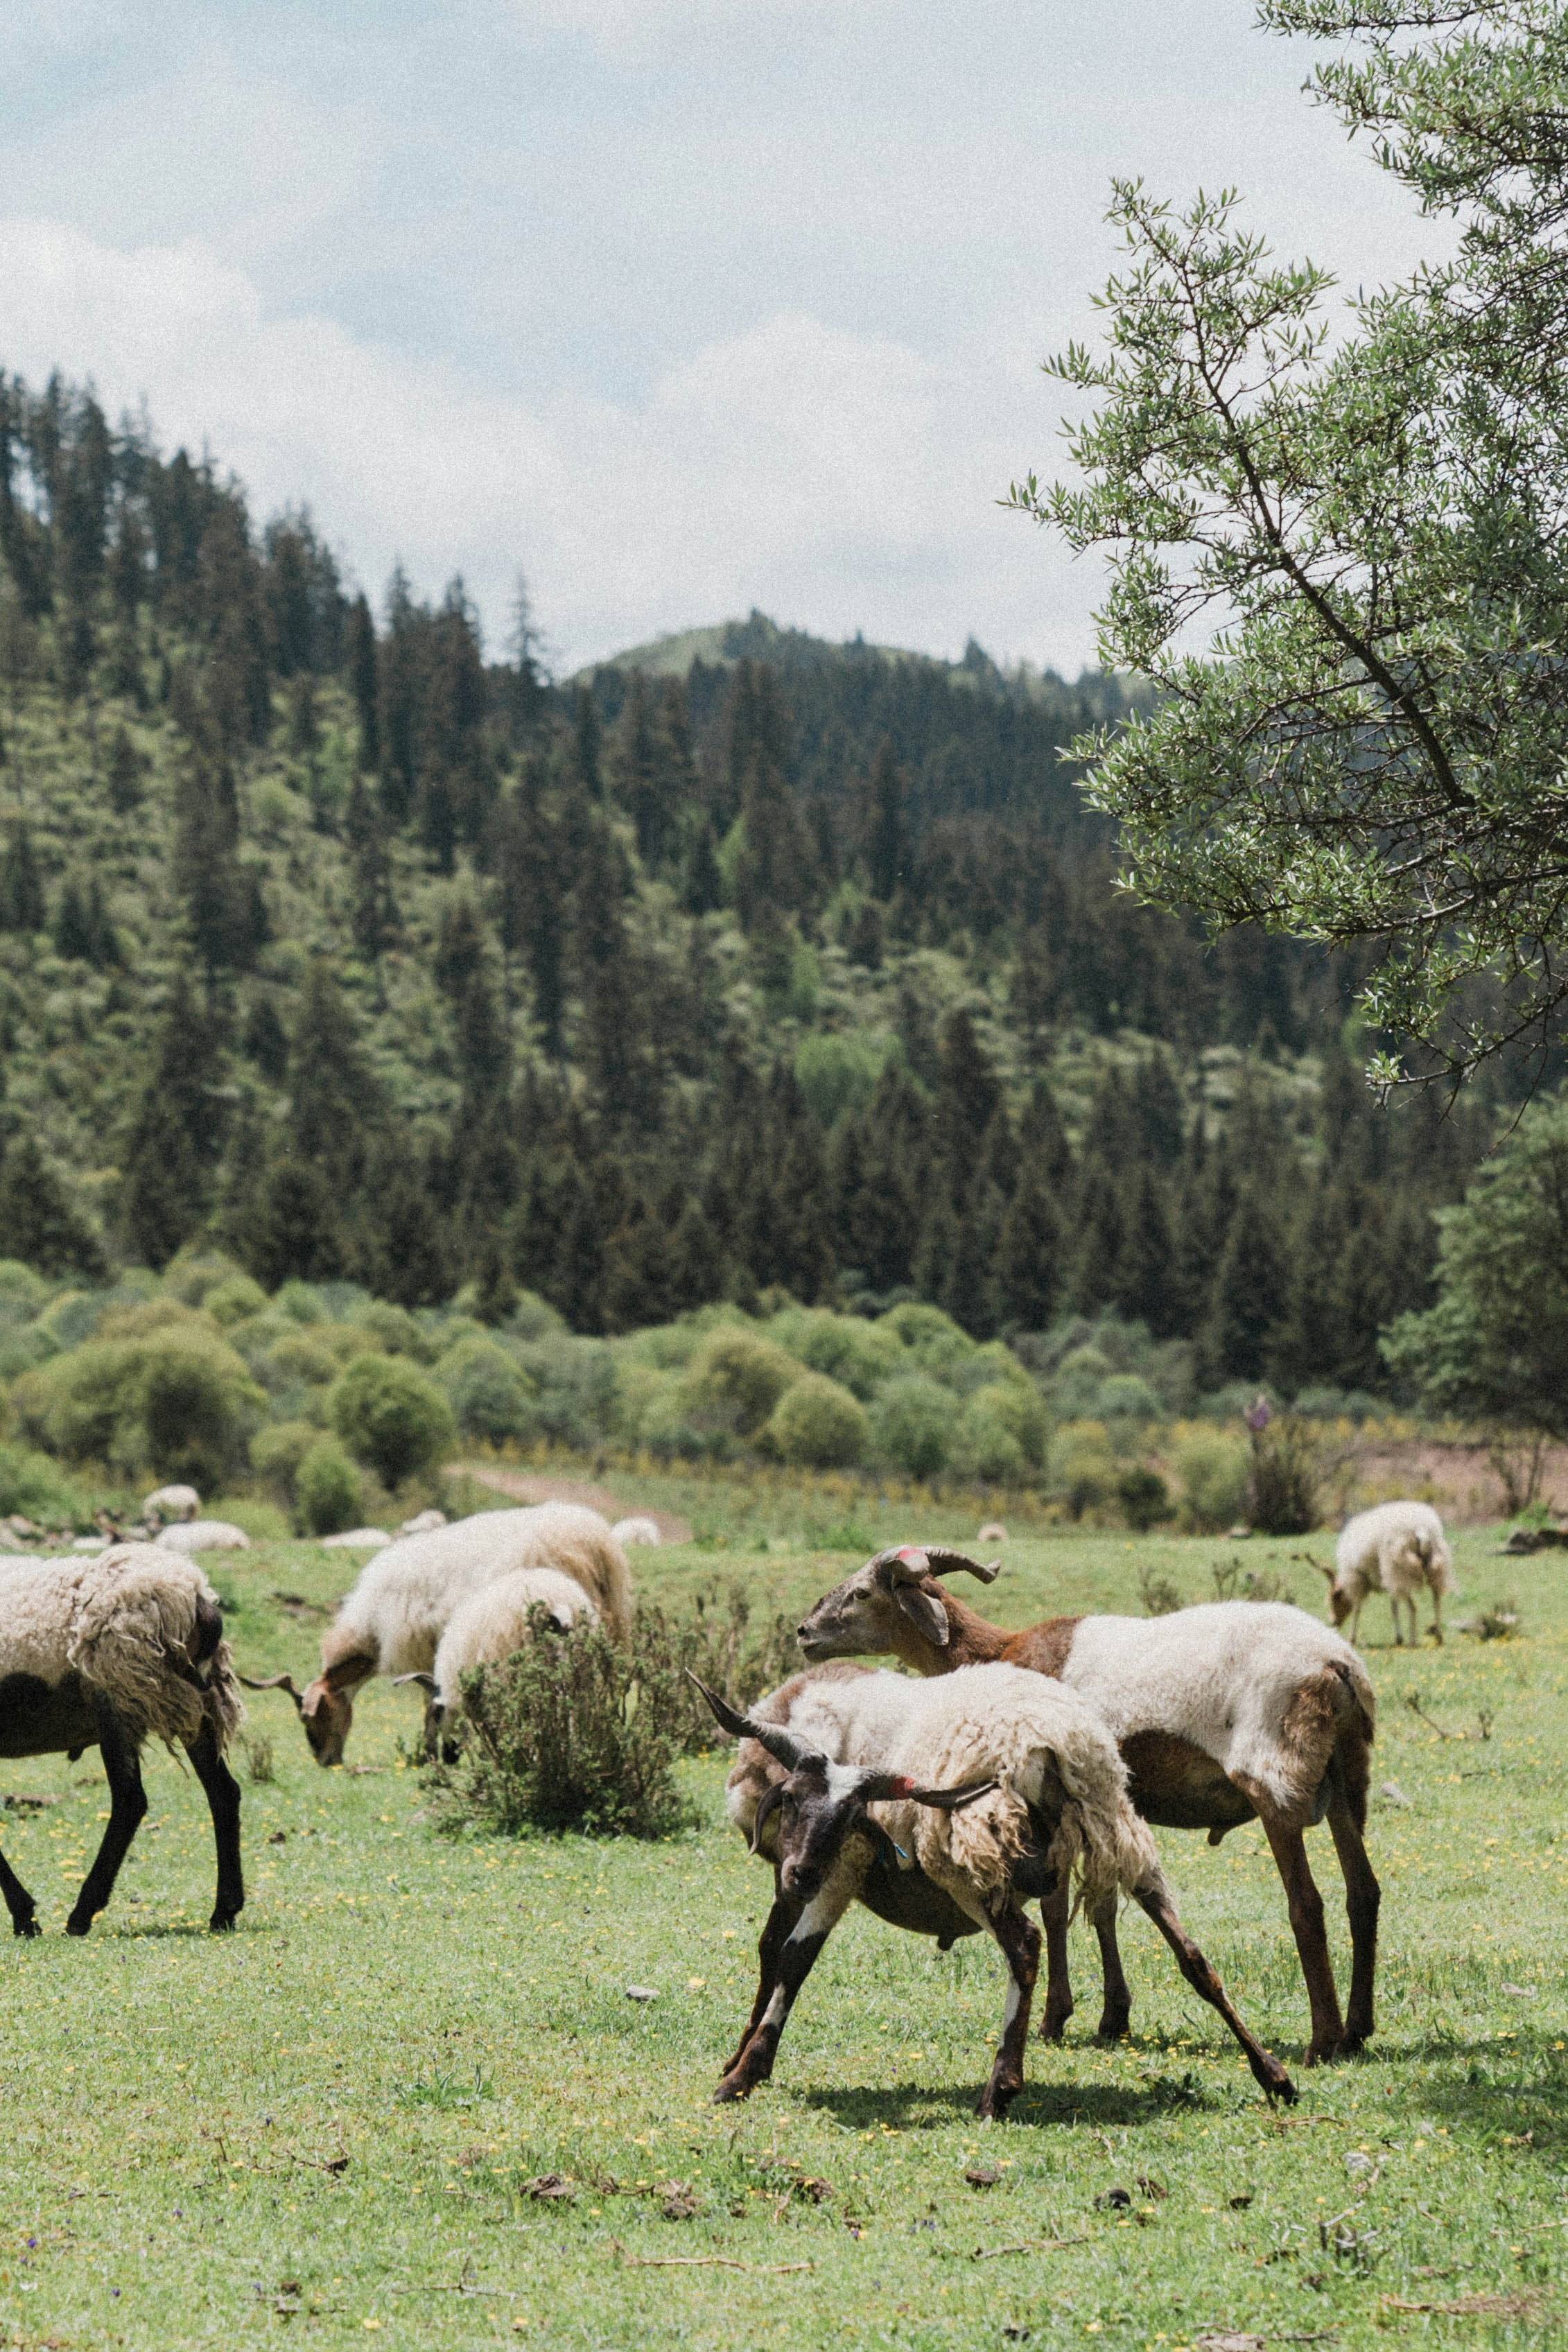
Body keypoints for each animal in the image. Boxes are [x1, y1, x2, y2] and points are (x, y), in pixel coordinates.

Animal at [0, 1543, 244, 1936]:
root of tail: (194, 1594)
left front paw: (25, 1916)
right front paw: (25, 1915)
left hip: (121, 1694)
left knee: (131, 1801)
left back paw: (81, 1914)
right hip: (193, 1698)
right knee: (223, 1791)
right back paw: (224, 1911)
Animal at [696, 1664, 1295, 2116]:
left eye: (847, 1818)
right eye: (793, 1800)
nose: (800, 1873)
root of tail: (1050, 1745)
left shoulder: (844, 1865)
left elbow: (792, 1959)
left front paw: (742, 2074)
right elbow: (772, 1950)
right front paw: (741, 2057)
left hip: (971, 1863)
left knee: (1024, 1945)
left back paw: (999, 2089)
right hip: (1118, 1829)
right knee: (1192, 1955)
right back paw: (1274, 2075)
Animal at [798, 1546, 1379, 2067]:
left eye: (861, 1592)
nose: (804, 1632)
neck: (995, 1653)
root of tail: (1338, 1664)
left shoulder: (1044, 1795)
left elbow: (1056, 1908)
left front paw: (1055, 2018)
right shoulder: (1103, 1808)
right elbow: (1103, 1904)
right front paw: (1113, 2016)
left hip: (1274, 1775)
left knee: (1307, 1904)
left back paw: (1323, 2041)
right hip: (1347, 1780)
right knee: (1363, 1893)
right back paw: (1357, 2031)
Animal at [1320, 1502, 1455, 1648]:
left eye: (1335, 1599)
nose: (1333, 1622)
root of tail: (1421, 1529)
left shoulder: (1357, 1578)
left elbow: (1357, 1607)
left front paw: (1352, 1638)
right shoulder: (1388, 1582)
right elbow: (1394, 1608)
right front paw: (1398, 1638)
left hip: (1399, 1569)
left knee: (1413, 1607)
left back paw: (1413, 1641)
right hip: (1435, 1565)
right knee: (1436, 1600)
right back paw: (1438, 1636)